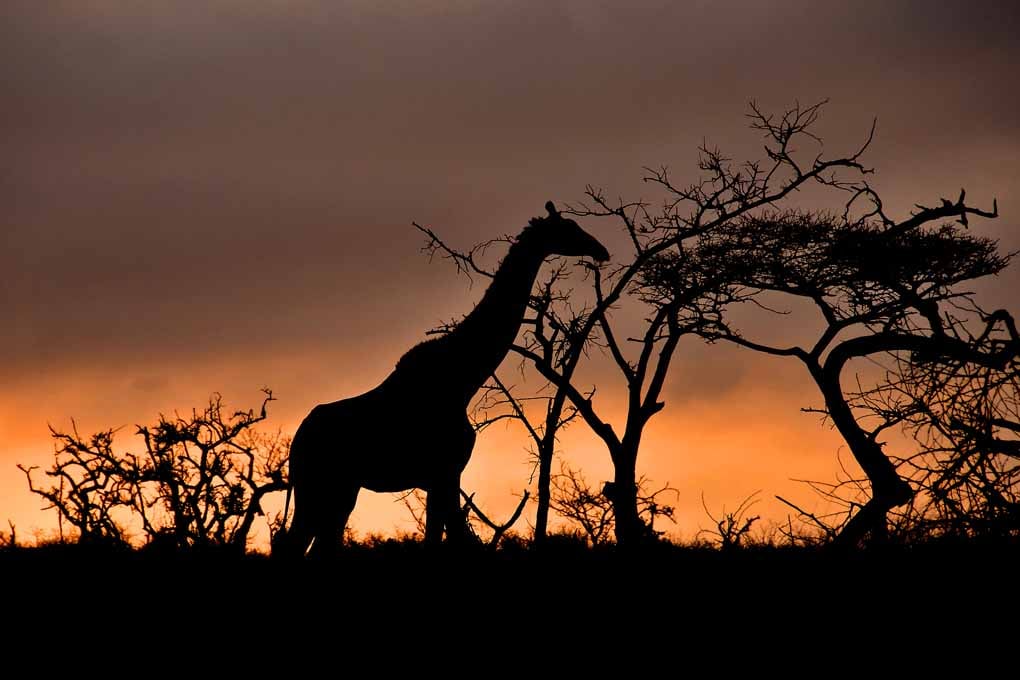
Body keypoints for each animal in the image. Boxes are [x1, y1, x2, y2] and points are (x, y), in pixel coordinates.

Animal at [274, 202, 609, 557]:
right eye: (569, 228)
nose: (600, 249)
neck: (462, 378)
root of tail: (297, 439)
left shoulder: (442, 478)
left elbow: (439, 537)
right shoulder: (445, 473)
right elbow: (447, 539)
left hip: (338, 489)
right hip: (321, 486)